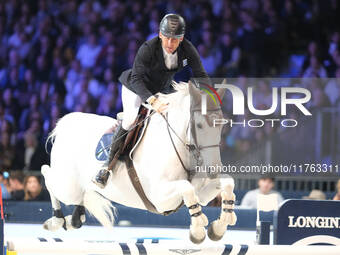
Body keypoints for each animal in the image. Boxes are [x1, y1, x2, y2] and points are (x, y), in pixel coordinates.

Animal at [41, 81, 236, 243]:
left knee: (79, 198)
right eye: (200, 126)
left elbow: (227, 182)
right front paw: (198, 231)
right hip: (67, 187)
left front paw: (219, 226)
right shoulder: (160, 198)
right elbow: (186, 188)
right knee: (47, 173)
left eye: (222, 125)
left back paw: (73, 219)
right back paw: (56, 220)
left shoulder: (200, 194)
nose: (213, 169)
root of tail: (67, 123)